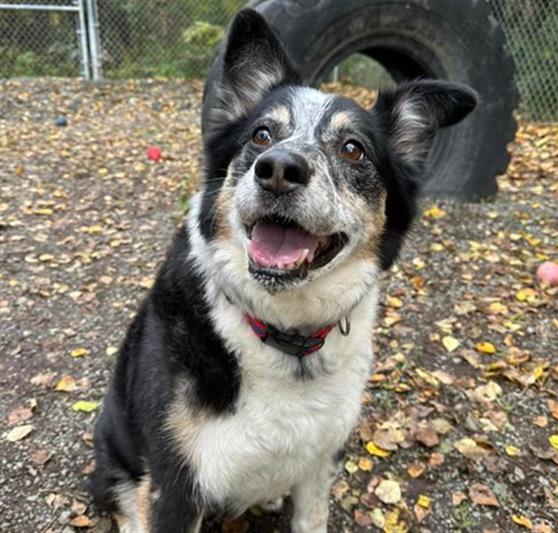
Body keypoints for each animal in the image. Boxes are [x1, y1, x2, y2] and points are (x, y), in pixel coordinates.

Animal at [91, 8, 476, 532]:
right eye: (261, 135)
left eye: (353, 149)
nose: (277, 169)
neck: (283, 334)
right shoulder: (174, 482)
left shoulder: (321, 462)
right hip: (114, 447)